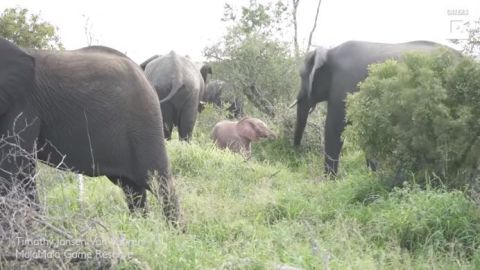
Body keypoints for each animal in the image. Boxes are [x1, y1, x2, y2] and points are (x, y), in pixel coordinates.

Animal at [0, 38, 180, 227]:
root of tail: (143, 73)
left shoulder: (23, 105)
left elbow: (13, 169)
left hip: (145, 119)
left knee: (158, 181)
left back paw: (174, 231)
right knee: (131, 187)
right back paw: (140, 226)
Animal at [294, 40, 448, 175]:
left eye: (301, 76)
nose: (296, 150)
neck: (330, 52)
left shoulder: (344, 85)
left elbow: (335, 128)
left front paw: (330, 182)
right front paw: (374, 174)